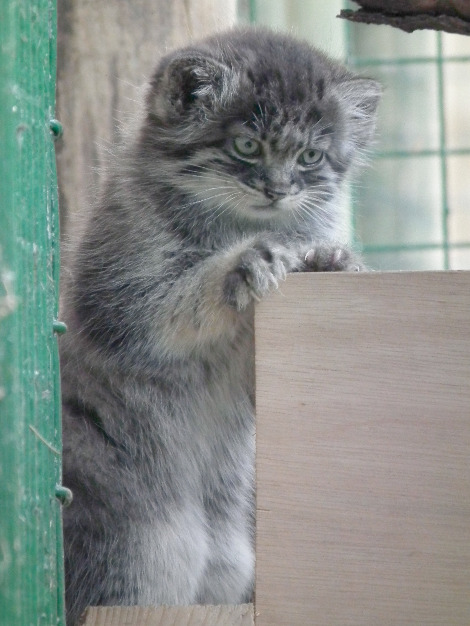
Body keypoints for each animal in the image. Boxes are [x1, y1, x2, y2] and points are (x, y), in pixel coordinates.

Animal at [59, 25, 382, 624]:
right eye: (246, 146)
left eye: (310, 155)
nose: (277, 189)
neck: (235, 221)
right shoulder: (117, 300)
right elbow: (176, 301)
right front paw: (243, 263)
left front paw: (330, 260)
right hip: (147, 548)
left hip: (227, 559)